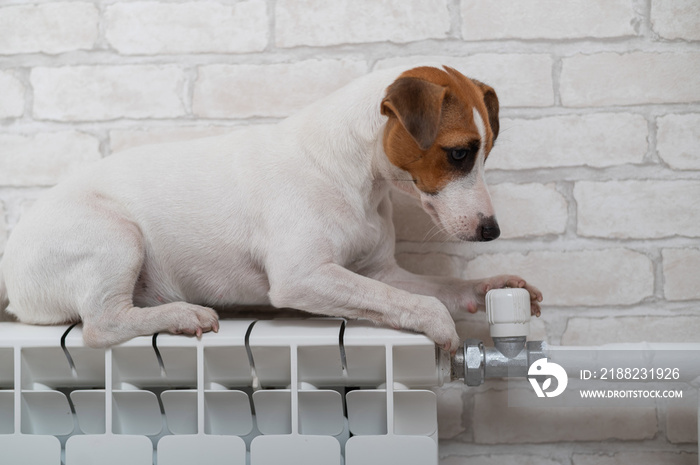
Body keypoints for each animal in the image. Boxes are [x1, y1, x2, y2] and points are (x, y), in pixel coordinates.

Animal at [0, 64, 540, 348]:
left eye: (484, 152)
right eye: (459, 153)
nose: (492, 231)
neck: (355, 176)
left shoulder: (380, 273)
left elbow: (434, 287)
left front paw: (490, 285)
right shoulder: (304, 276)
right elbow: (419, 302)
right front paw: (439, 323)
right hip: (115, 237)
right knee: (101, 324)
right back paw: (181, 315)